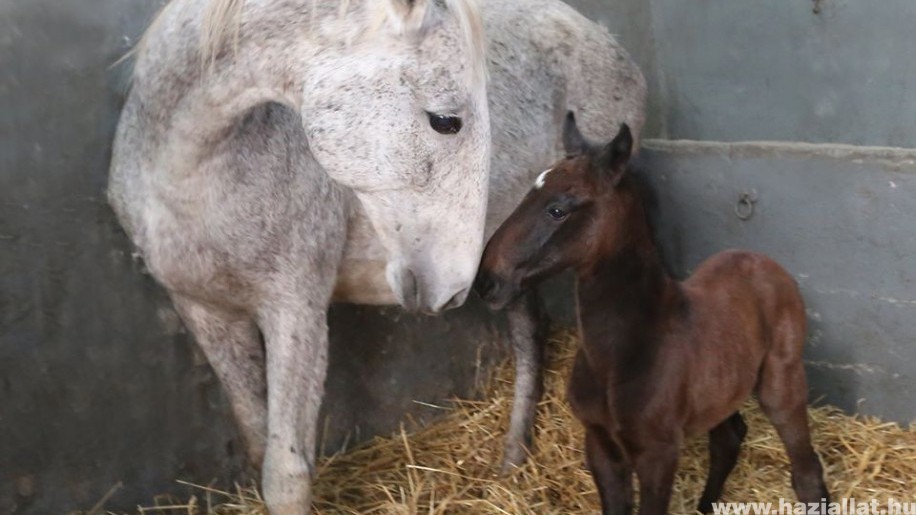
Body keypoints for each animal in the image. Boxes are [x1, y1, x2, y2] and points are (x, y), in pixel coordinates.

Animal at [472, 114, 832, 515]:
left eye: (558, 209)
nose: (486, 279)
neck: (621, 354)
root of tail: (764, 261)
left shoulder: (657, 455)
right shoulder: (600, 445)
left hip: (780, 382)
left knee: (805, 469)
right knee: (729, 438)